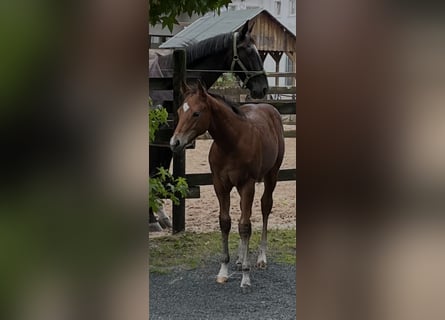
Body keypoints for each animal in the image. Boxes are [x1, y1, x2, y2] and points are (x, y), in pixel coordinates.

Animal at [148, 20, 268, 230]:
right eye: (249, 51)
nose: (263, 88)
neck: (167, 82)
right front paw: (152, 220)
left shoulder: (168, 138)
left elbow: (159, 170)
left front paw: (161, 216)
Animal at [170, 82, 284, 288]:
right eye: (179, 111)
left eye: (196, 113)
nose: (175, 143)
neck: (231, 143)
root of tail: (270, 108)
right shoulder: (220, 184)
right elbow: (226, 222)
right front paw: (224, 270)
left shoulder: (247, 184)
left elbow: (245, 226)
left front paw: (246, 276)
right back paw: (239, 258)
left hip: (272, 175)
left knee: (265, 208)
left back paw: (261, 258)